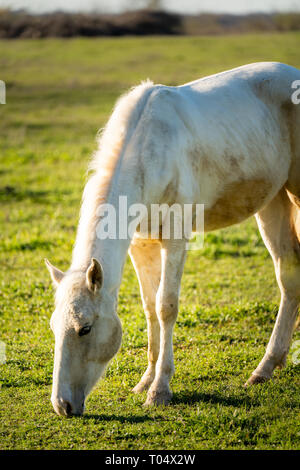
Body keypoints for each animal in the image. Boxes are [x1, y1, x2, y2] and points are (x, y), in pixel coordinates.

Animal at [45, 61, 298, 414]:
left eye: (85, 329)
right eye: (54, 327)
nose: (62, 405)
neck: (149, 150)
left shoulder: (177, 237)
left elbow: (166, 305)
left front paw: (160, 389)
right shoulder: (141, 245)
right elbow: (150, 306)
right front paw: (145, 381)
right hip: (273, 201)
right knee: (289, 276)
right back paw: (267, 368)